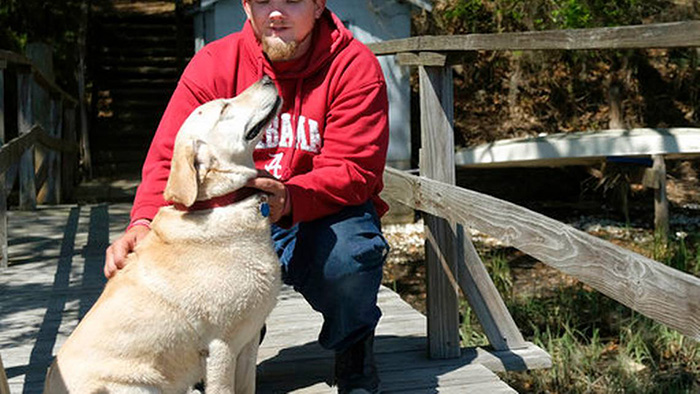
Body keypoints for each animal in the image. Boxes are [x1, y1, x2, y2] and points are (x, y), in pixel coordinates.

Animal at [44, 77, 282, 394]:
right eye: (224, 108)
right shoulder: (221, 346)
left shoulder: (248, 340)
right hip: (139, 385)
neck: (220, 202)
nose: (267, 78)